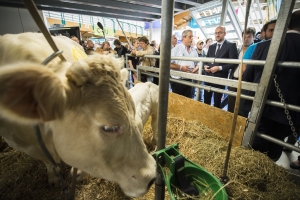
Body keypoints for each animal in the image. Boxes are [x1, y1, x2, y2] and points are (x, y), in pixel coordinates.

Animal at [0, 32, 157, 197]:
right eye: (109, 128)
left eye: (132, 112)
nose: (151, 178)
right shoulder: (23, 144)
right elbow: (48, 162)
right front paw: (54, 177)